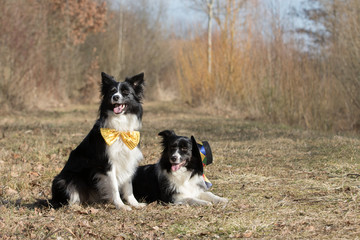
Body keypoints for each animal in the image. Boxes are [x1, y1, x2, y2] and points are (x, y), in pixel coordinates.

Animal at [51, 71, 146, 210]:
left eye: (125, 92)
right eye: (112, 91)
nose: (115, 97)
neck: (120, 129)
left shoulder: (128, 159)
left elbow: (129, 186)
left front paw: (135, 203)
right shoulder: (107, 163)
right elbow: (114, 187)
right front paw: (121, 206)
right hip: (64, 180)